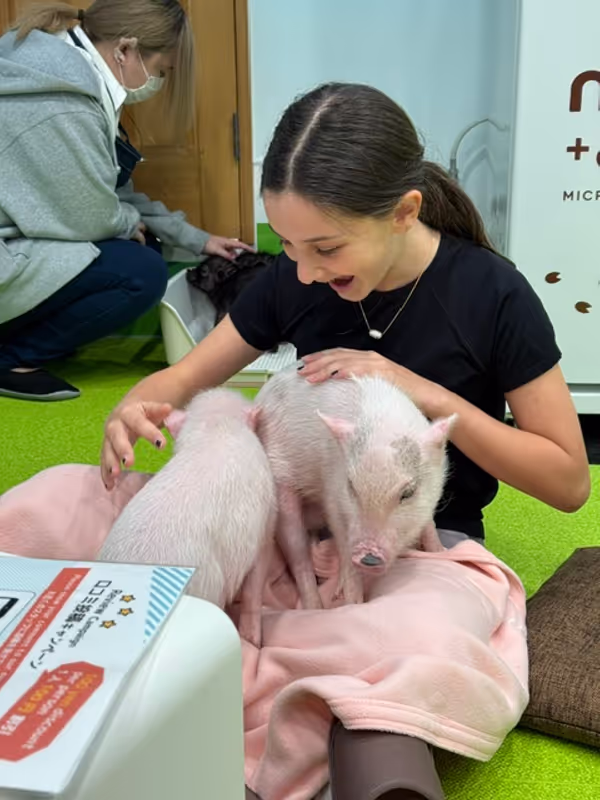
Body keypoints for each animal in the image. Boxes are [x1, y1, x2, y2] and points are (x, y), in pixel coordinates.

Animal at [254, 368, 456, 608]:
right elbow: (341, 538)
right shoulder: (332, 490)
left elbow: (429, 523)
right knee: (298, 554)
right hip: (280, 483)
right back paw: (316, 607)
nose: (368, 557)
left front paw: (440, 552)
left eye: (408, 493)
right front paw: (353, 602)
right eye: (352, 486)